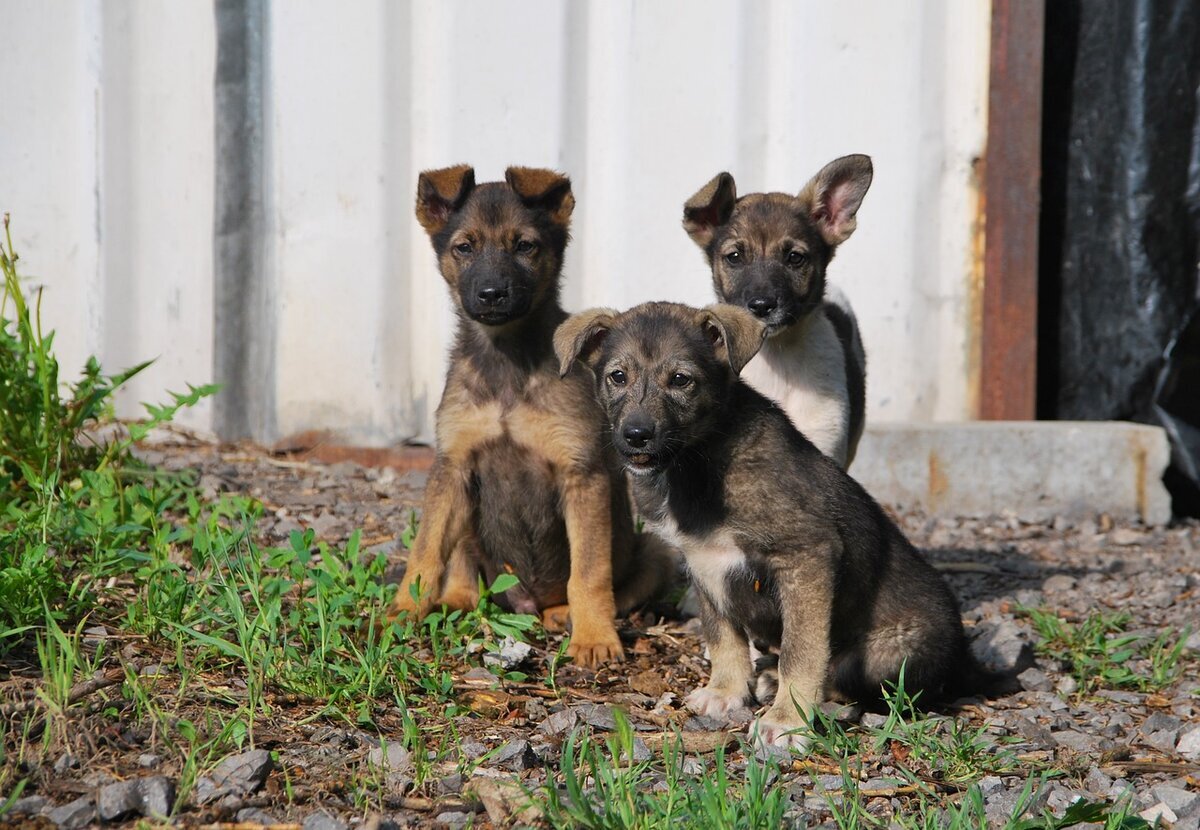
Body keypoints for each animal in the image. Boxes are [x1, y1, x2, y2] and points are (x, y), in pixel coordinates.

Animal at [393, 165, 676, 666]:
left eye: (525, 246)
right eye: (463, 247)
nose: (491, 294)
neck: (507, 359)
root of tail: (525, 603)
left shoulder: (582, 475)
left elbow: (589, 572)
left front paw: (594, 636)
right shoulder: (453, 465)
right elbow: (425, 552)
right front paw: (405, 610)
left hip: (654, 550)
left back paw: (564, 614)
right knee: (463, 559)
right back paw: (457, 600)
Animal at [556, 301, 988, 748]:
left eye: (680, 380)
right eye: (617, 377)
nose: (636, 435)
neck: (698, 462)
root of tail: (967, 662)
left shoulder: (808, 555)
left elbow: (803, 651)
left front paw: (787, 719)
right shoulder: (702, 562)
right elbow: (723, 637)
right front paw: (726, 691)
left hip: (888, 654)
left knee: (846, 674)